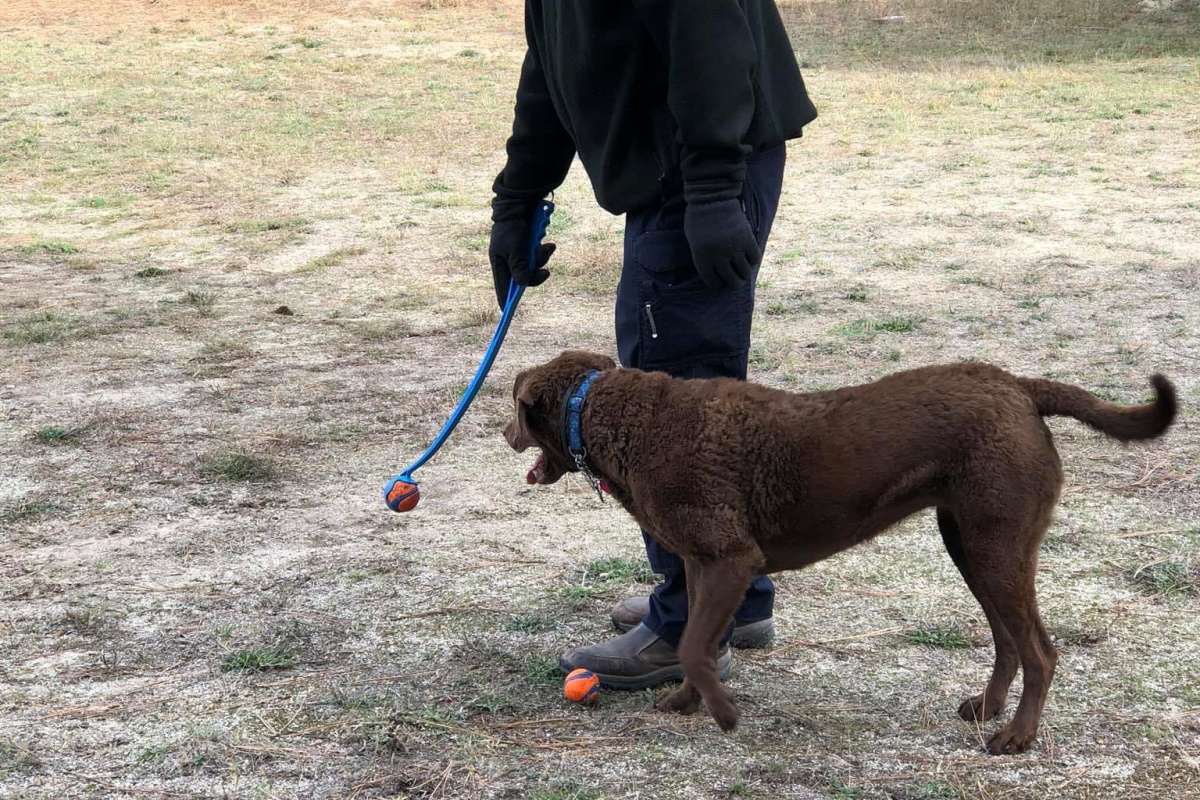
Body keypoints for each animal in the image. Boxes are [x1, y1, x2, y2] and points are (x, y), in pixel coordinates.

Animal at [501, 347, 1176, 753]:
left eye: (514, 408)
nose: (503, 433)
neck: (616, 413)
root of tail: (1020, 388)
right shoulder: (699, 563)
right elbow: (696, 643)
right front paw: (689, 701)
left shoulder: (730, 560)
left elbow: (693, 645)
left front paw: (724, 714)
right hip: (971, 544)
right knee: (1009, 641)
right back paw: (986, 709)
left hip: (996, 544)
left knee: (1040, 650)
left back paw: (1016, 738)